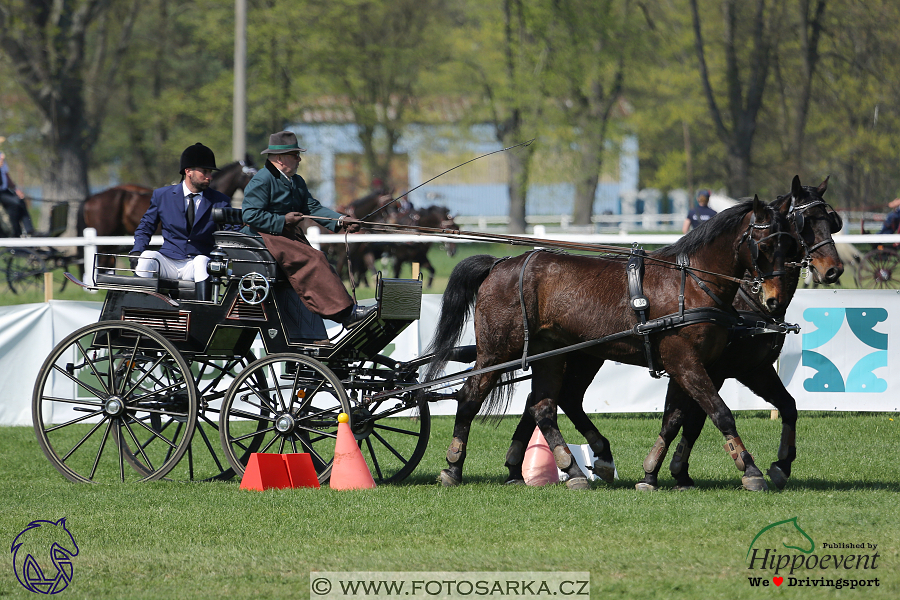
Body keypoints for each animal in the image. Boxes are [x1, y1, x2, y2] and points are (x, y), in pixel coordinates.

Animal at [426, 197, 800, 492]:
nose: (773, 299)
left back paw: (575, 468)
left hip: (553, 354)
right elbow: (719, 412)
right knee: (470, 398)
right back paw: (453, 466)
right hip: (497, 351)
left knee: (545, 406)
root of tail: (499, 264)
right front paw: (750, 469)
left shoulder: (702, 366)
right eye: (764, 245)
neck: (692, 283)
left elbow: (679, 417)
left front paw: (654, 474)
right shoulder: (686, 361)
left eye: (792, 245)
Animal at [502, 175, 840, 492]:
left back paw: (534, 465)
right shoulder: (701, 365)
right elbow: (705, 415)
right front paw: (729, 470)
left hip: (581, 355)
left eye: (832, 221)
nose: (833, 270)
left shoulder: (748, 367)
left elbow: (783, 406)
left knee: (556, 398)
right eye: (803, 224)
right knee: (549, 399)